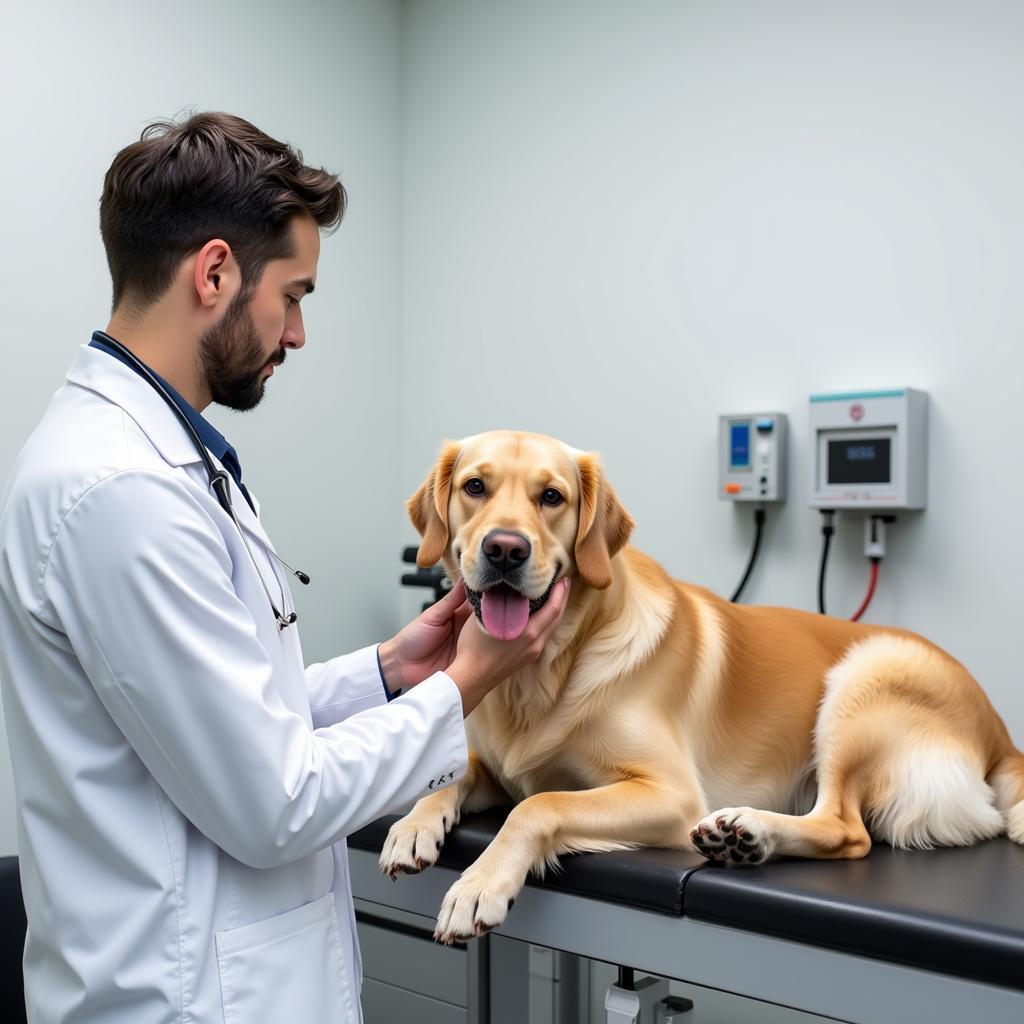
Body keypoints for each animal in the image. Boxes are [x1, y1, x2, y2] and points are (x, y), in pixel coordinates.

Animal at [382, 428, 1024, 937]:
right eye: (475, 487)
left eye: (552, 497)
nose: (505, 549)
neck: (549, 668)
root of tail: (1000, 732)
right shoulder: (497, 768)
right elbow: (454, 773)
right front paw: (414, 824)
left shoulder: (670, 794)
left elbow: (540, 803)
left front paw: (481, 884)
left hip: (864, 676)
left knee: (847, 829)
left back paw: (749, 831)